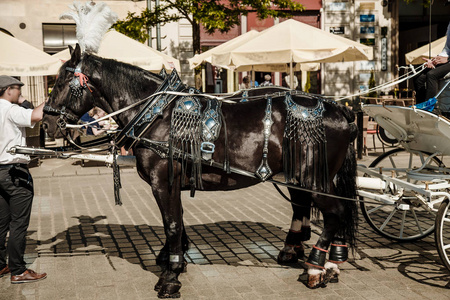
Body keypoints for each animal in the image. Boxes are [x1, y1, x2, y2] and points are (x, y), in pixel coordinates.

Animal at [42, 44, 358, 298]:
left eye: (62, 81)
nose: (45, 124)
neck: (158, 114)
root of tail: (340, 110)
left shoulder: (163, 181)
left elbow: (171, 224)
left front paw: (170, 277)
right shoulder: (173, 182)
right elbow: (178, 221)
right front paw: (176, 259)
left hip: (313, 178)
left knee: (335, 212)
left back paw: (318, 266)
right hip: (300, 177)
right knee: (312, 208)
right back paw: (319, 258)